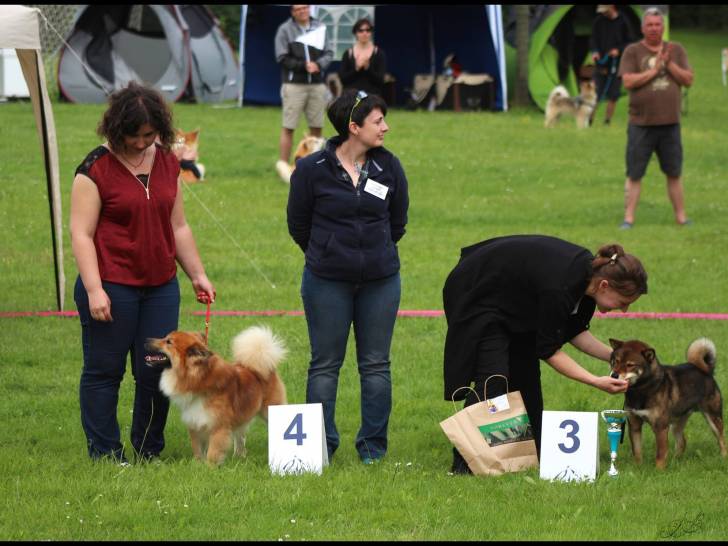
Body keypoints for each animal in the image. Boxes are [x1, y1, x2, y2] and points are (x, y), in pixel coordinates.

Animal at [146, 326, 288, 466]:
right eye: (165, 338)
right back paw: (239, 457)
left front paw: (210, 468)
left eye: (168, 342)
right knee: (240, 437)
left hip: (269, 410)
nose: (147, 340)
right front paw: (198, 465)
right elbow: (198, 450)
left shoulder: (218, 427)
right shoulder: (195, 424)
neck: (199, 380)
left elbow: (212, 453)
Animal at [612, 336, 724, 468]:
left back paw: (723, 457)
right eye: (615, 361)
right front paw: (638, 467)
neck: (641, 390)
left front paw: (659, 470)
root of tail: (706, 370)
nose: (613, 375)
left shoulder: (660, 427)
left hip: (713, 417)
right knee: (682, 442)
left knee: (722, 440)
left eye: (630, 365)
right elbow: (637, 451)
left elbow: (660, 454)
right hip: (676, 422)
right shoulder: (634, 424)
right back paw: (676, 461)